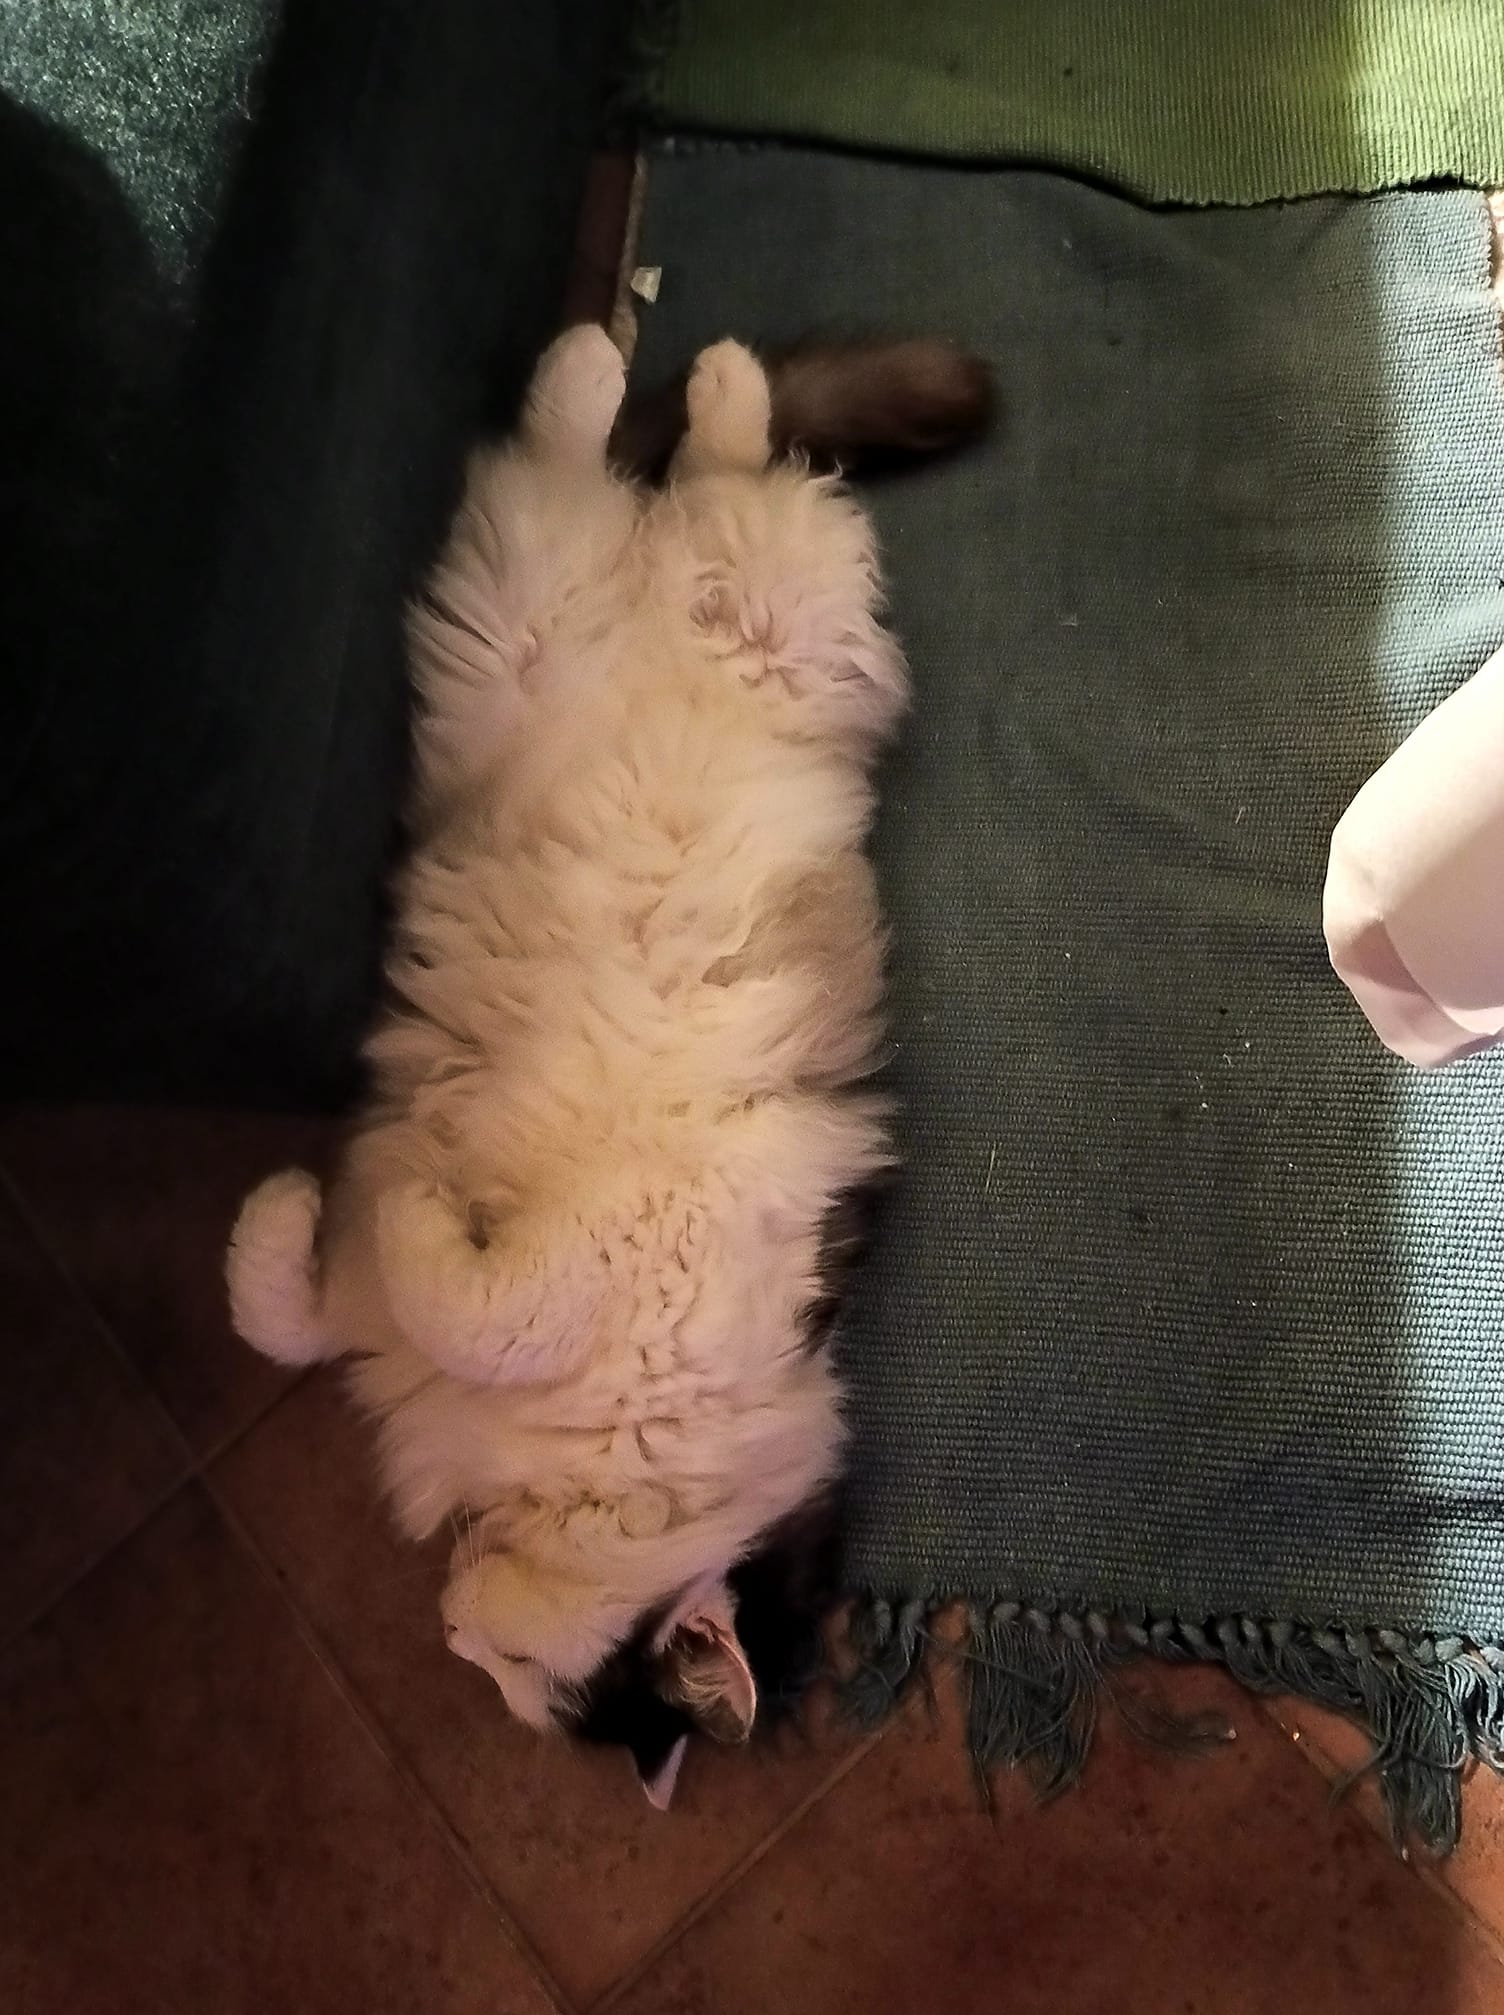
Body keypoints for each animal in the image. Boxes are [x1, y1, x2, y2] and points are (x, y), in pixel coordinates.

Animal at [227, 325, 988, 1804]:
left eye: (518, 1681)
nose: (455, 1636)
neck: (636, 1457)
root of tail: (637, 590)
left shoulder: (487, 1284)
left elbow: (346, 1292)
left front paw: (326, 1205)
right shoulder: (598, 1258)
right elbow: (376, 1291)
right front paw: (361, 1201)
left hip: (545, 604)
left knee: (621, 462)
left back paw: (631, 366)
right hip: (710, 609)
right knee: (710, 457)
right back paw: (667, 361)